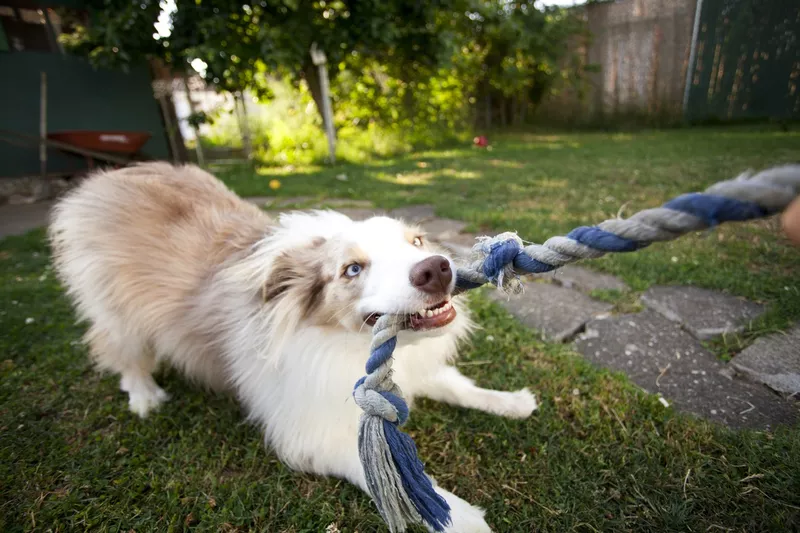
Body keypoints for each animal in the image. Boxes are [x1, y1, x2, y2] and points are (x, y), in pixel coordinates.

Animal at [48, 164, 536, 528]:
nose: (436, 269)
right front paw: (459, 517)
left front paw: (512, 402)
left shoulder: (417, 369)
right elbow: (387, 474)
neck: (343, 341)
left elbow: (458, 386)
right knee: (119, 349)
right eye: (352, 269)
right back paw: (144, 394)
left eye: (416, 241)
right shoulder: (308, 433)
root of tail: (109, 174)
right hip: (116, 309)